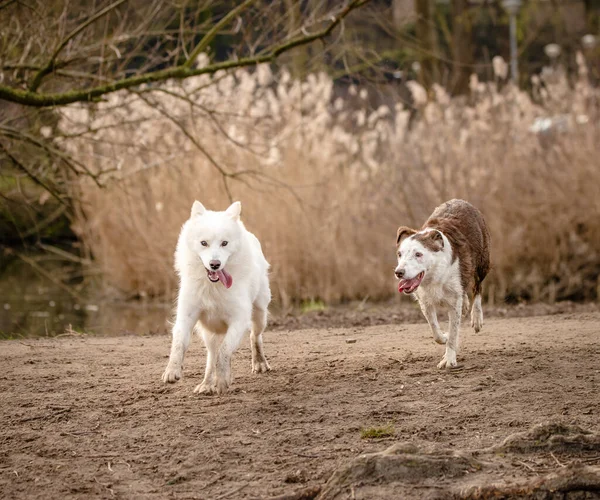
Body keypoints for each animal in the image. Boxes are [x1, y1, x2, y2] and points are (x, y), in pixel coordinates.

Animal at [161, 201, 270, 392]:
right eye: (203, 243)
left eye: (224, 243)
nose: (214, 264)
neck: (212, 286)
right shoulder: (186, 316)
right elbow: (179, 343)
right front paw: (172, 370)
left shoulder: (238, 320)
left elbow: (224, 351)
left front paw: (222, 380)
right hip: (209, 333)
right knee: (211, 356)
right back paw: (206, 384)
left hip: (260, 314)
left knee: (254, 337)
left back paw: (259, 363)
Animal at [396, 201, 490, 370]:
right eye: (400, 254)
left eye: (418, 254)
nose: (398, 272)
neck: (434, 275)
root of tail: (462, 201)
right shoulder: (424, 301)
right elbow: (434, 329)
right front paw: (443, 337)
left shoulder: (453, 303)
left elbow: (453, 332)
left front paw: (449, 359)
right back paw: (465, 304)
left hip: (482, 262)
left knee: (477, 288)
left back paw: (477, 317)